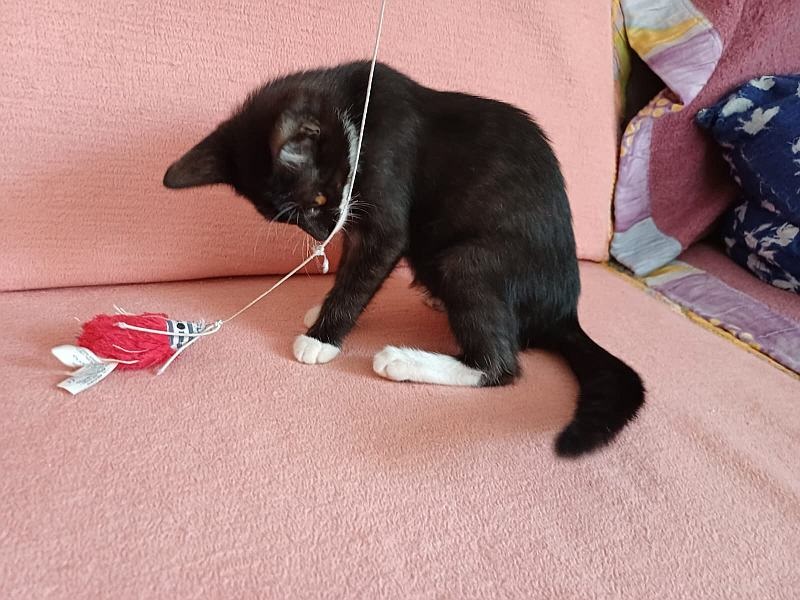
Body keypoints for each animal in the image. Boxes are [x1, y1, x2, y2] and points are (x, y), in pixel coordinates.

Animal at [163, 61, 645, 456]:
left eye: (316, 201)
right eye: (287, 221)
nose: (323, 234)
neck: (355, 110)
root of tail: (564, 312)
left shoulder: (386, 195)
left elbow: (366, 269)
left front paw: (322, 337)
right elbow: (353, 267)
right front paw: (324, 308)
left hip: (468, 260)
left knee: (500, 365)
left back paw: (404, 360)